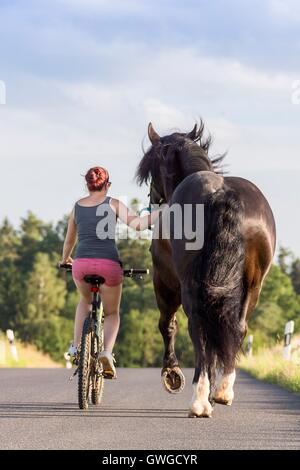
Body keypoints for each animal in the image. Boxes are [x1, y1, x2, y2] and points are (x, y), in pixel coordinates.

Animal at [137, 121, 276, 418]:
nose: (153, 198)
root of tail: (223, 194)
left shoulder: (164, 282)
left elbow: (168, 325)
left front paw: (172, 374)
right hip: (252, 286)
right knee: (237, 326)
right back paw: (222, 391)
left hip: (190, 286)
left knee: (198, 328)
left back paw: (200, 400)